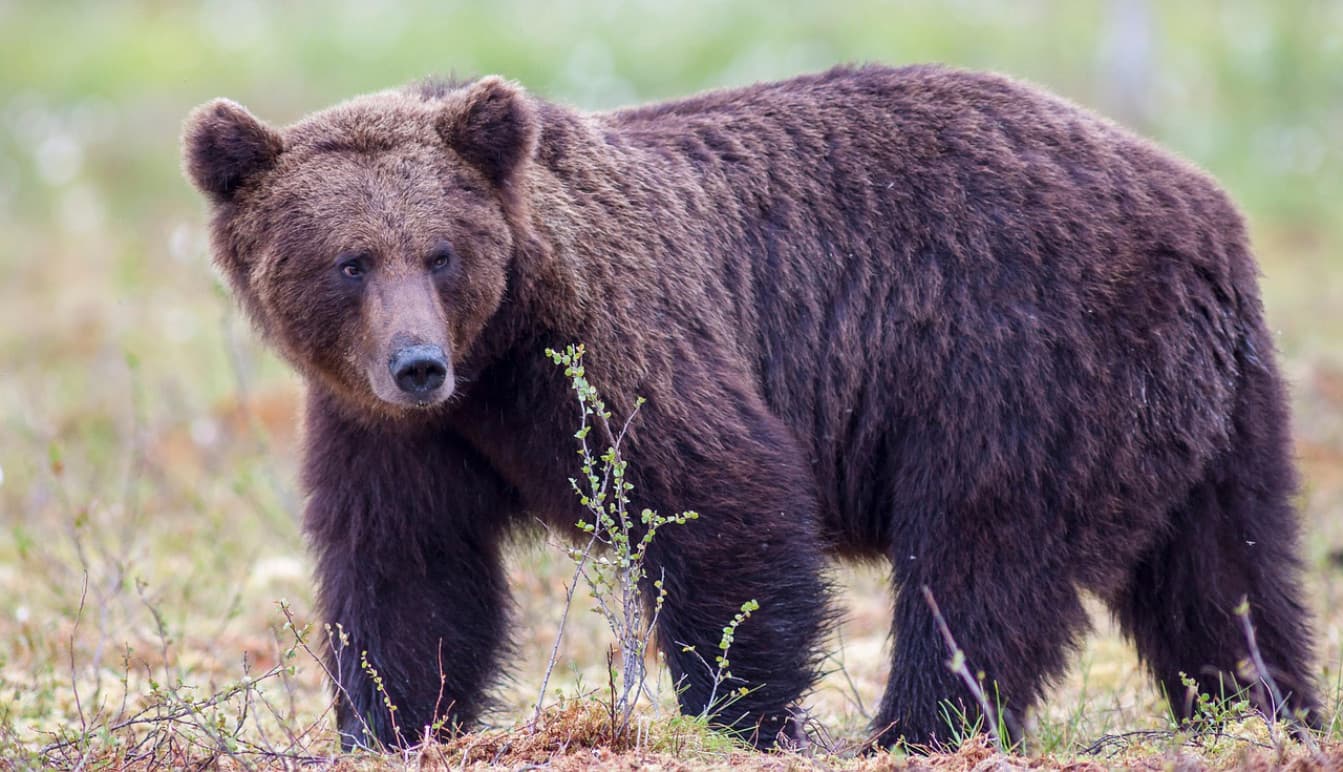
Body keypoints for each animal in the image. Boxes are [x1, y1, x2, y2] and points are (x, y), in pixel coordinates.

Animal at [182, 64, 1319, 750]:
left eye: (440, 252)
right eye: (349, 260)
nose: (416, 363)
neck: (497, 353)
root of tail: (1202, 209)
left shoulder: (616, 339)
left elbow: (723, 502)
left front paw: (743, 716)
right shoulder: (393, 431)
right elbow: (407, 575)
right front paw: (392, 723)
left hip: (1022, 361)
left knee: (981, 560)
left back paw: (912, 729)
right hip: (1212, 410)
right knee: (1224, 577)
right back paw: (1262, 715)